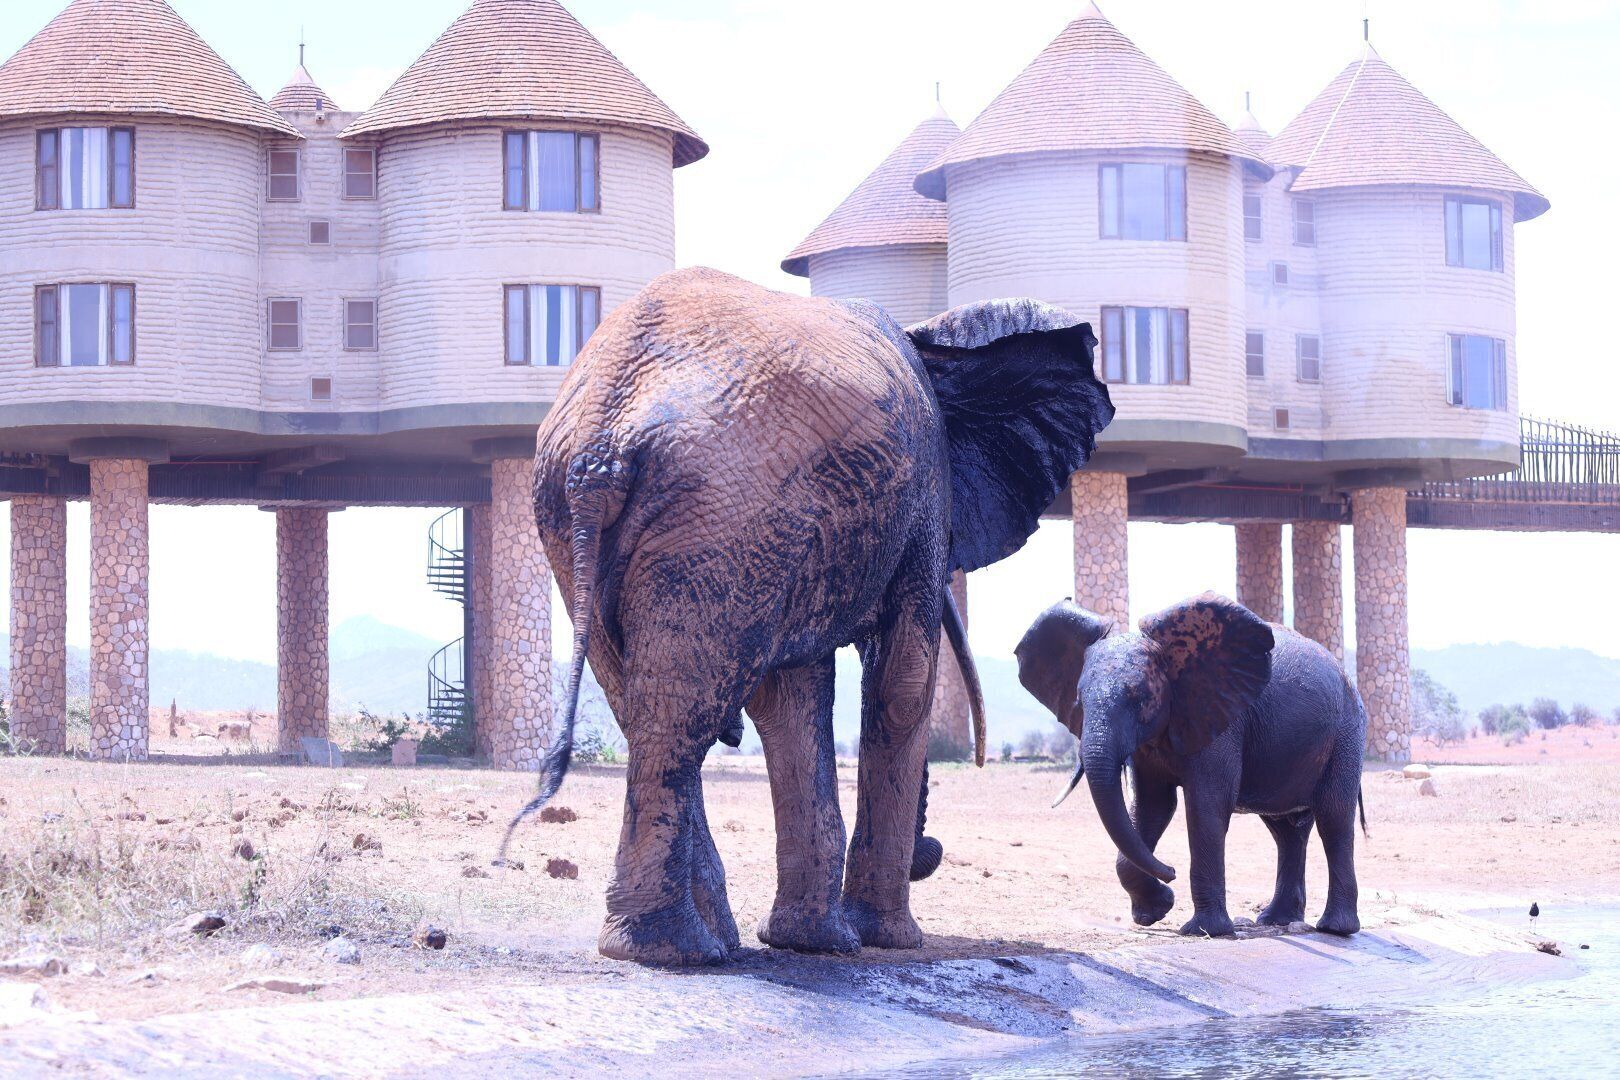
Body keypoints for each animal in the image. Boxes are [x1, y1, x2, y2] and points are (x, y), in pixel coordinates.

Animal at [506, 267, 1114, 965]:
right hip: (715, 515)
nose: (930, 854)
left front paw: (813, 943)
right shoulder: (922, 493)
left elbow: (791, 696)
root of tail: (602, 444)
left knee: (649, 702)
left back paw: (703, 945)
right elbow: (903, 685)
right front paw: (885, 941)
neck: (936, 345)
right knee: (679, 710)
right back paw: (672, 951)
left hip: (599, 516)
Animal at [1015, 593, 1365, 938]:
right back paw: (1275, 920)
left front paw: (1204, 931)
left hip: (1347, 734)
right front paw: (1155, 911)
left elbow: (1206, 806)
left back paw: (1335, 929)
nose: (1171, 871)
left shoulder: (1222, 720)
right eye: (1079, 701)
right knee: (1286, 831)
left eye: (1140, 699)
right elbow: (1151, 807)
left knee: (1333, 819)